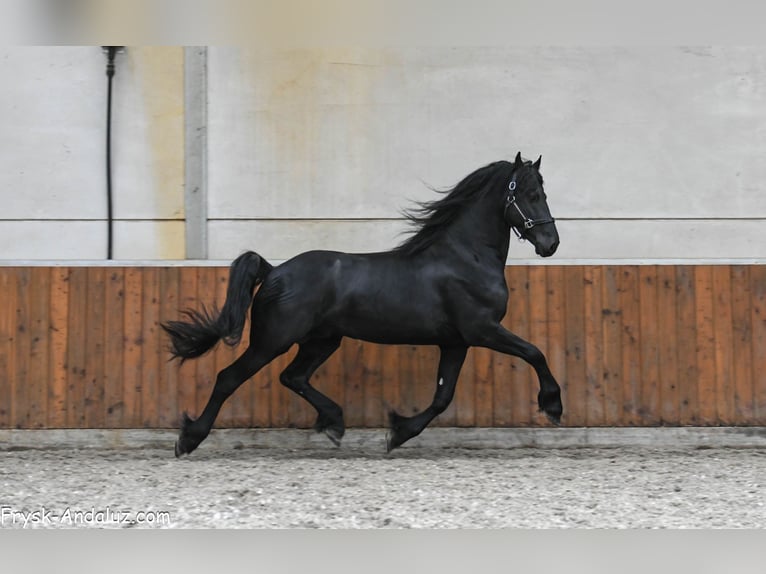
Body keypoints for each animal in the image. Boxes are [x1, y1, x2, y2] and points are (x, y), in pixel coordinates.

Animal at [162, 152, 562, 456]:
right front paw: (553, 405)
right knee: (229, 378)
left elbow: (442, 397)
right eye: (529, 193)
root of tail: (274, 271)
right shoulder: (482, 330)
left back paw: (335, 423)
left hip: (322, 341)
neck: (466, 257)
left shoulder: (455, 342)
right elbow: (535, 352)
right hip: (272, 341)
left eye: (543, 192)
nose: (550, 243)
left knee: (292, 376)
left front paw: (398, 432)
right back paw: (189, 439)